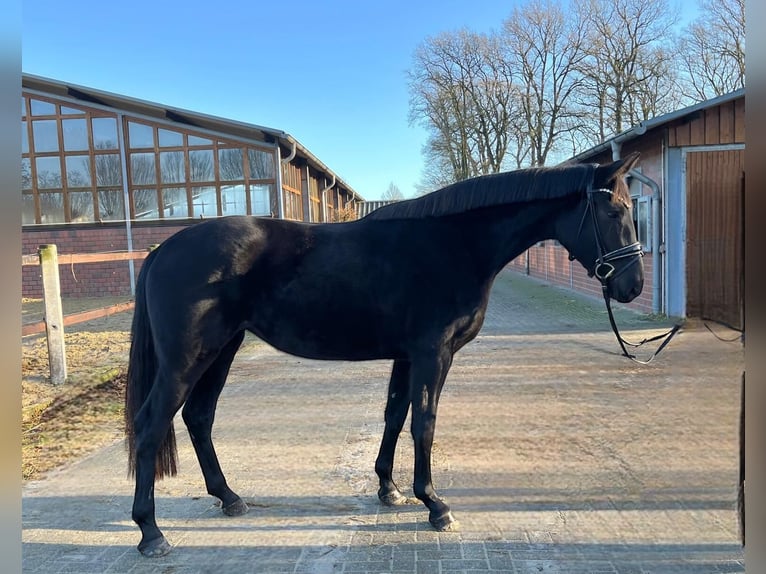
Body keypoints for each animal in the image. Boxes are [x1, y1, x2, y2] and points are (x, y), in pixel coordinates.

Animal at [129, 151, 644, 556]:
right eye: (614, 210)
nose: (633, 286)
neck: (454, 243)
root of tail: (162, 251)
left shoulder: (406, 356)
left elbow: (395, 415)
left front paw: (388, 488)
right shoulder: (433, 354)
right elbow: (424, 423)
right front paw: (434, 504)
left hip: (222, 349)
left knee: (198, 417)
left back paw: (228, 497)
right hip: (189, 358)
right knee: (152, 425)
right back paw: (151, 532)